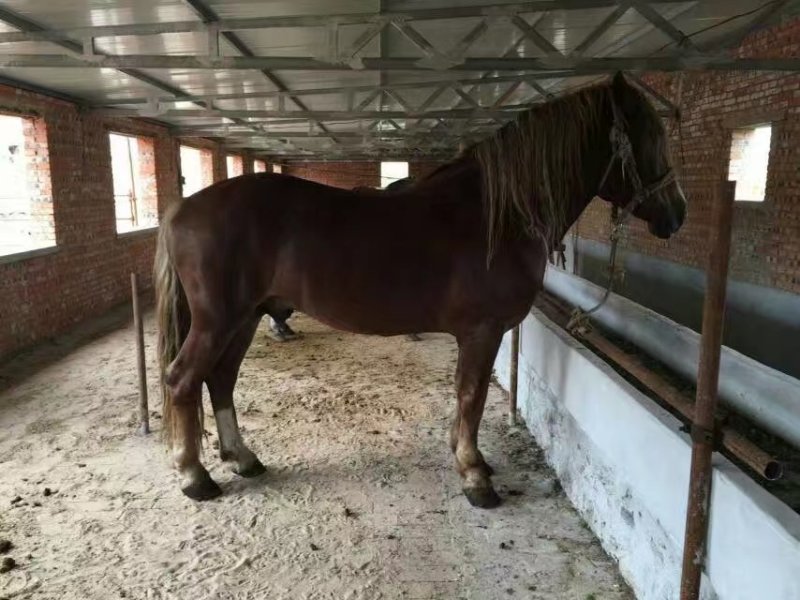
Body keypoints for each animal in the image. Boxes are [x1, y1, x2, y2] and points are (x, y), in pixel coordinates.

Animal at [154, 73, 686, 508]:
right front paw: (474, 476)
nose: (677, 213)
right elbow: (471, 395)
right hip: (219, 320)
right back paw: (194, 477)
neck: (496, 216)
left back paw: (243, 457)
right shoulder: (482, 331)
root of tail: (182, 208)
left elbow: (468, 397)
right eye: (650, 136)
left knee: (220, 379)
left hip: (246, 318)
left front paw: (471, 460)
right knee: (182, 380)